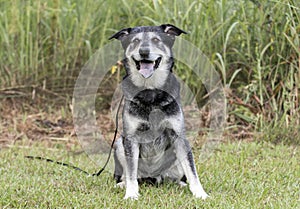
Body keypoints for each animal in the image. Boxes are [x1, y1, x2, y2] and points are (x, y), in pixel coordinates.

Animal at [108, 23, 209, 200]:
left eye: (156, 40)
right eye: (135, 41)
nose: (144, 52)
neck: (151, 91)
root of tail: (154, 177)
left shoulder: (179, 136)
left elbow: (192, 170)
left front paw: (200, 193)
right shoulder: (131, 138)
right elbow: (131, 172)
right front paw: (131, 194)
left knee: (175, 177)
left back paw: (181, 184)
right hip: (120, 143)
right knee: (129, 174)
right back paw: (123, 185)